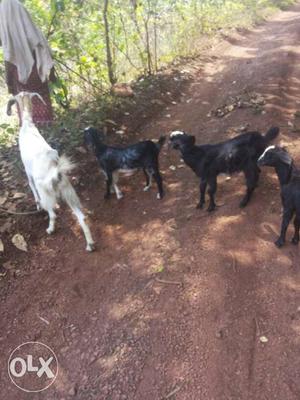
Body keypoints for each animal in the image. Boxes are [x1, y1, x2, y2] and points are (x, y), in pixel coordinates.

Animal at [7, 92, 95, 252]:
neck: (28, 125)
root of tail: (55, 174)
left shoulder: (28, 174)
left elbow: (32, 188)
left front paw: (36, 204)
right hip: (69, 192)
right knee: (81, 217)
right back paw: (90, 244)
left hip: (46, 193)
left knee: (52, 214)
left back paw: (50, 229)